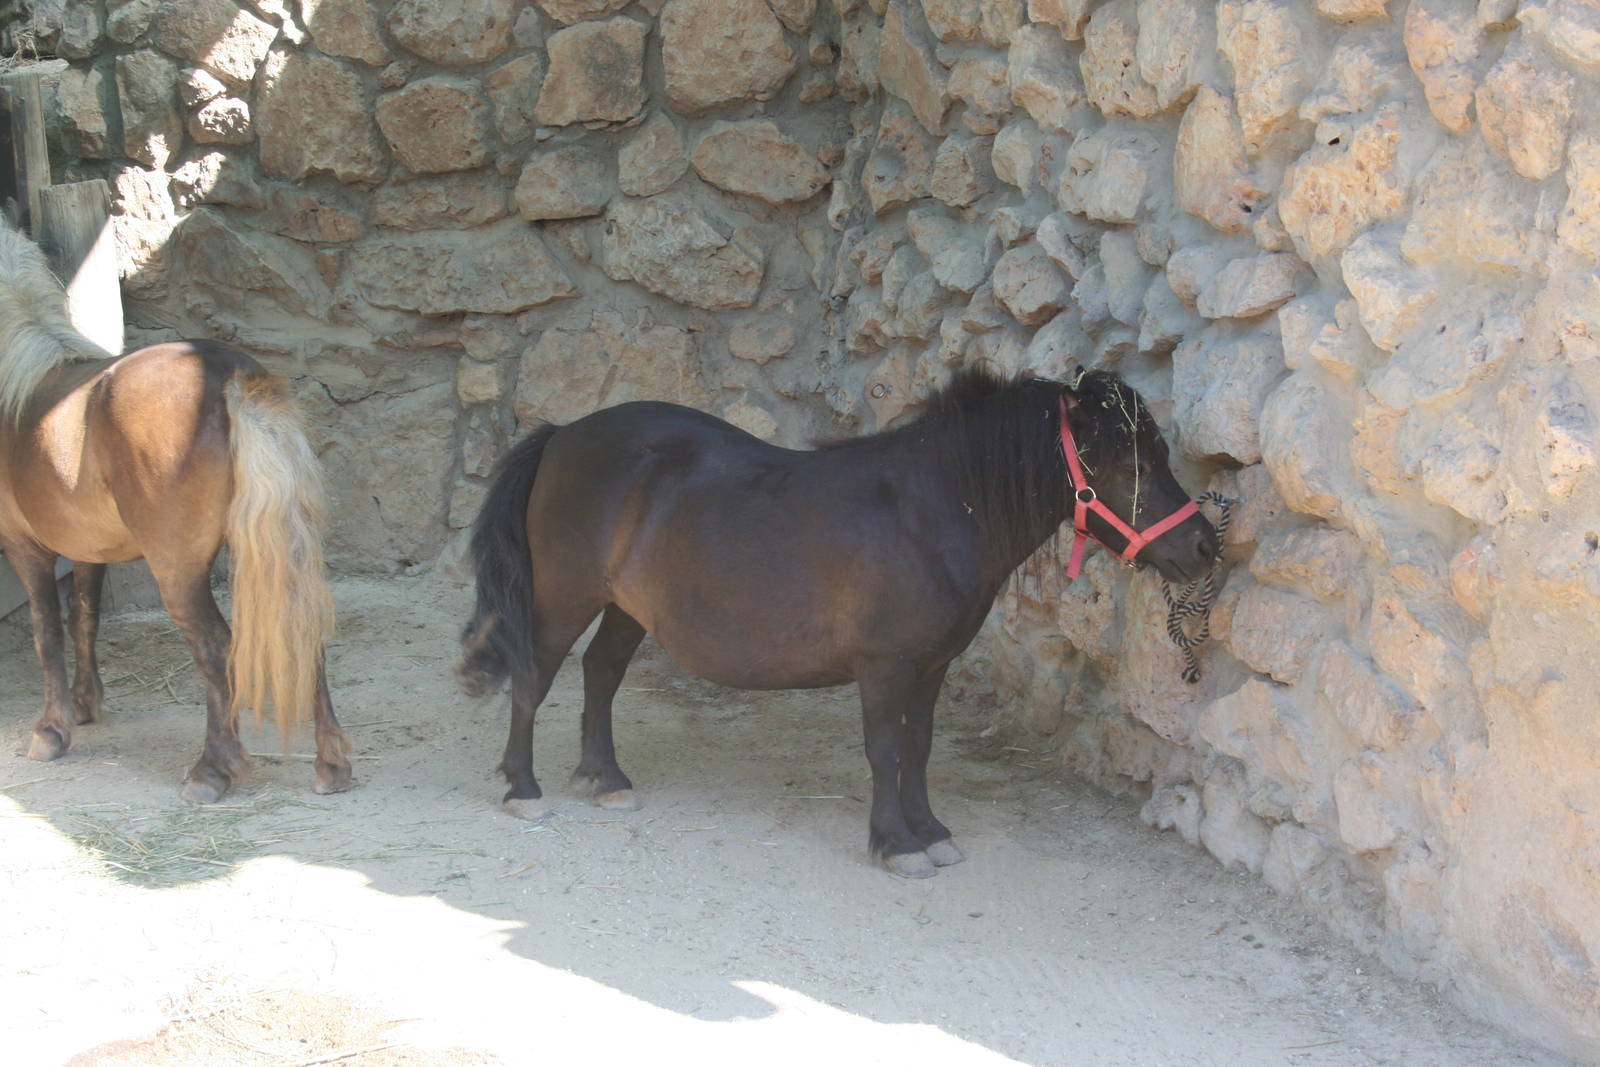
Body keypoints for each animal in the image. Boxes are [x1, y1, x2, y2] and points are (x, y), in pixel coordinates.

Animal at [0, 219, 348, 802]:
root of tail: (228, 378)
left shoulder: (25, 547)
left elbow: (47, 630)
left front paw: (51, 730)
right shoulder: (88, 549)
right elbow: (84, 617)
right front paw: (86, 703)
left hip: (178, 571)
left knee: (215, 649)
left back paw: (212, 770)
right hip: (280, 550)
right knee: (301, 633)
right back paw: (331, 766)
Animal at [458, 367, 1219, 877]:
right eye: (1129, 460)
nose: (1205, 545)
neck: (933, 509)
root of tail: (564, 434)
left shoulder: (931, 665)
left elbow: (919, 748)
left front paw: (929, 829)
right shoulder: (883, 667)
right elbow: (885, 749)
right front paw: (896, 842)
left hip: (624, 605)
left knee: (601, 672)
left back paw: (605, 778)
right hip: (565, 595)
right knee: (534, 674)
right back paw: (523, 787)